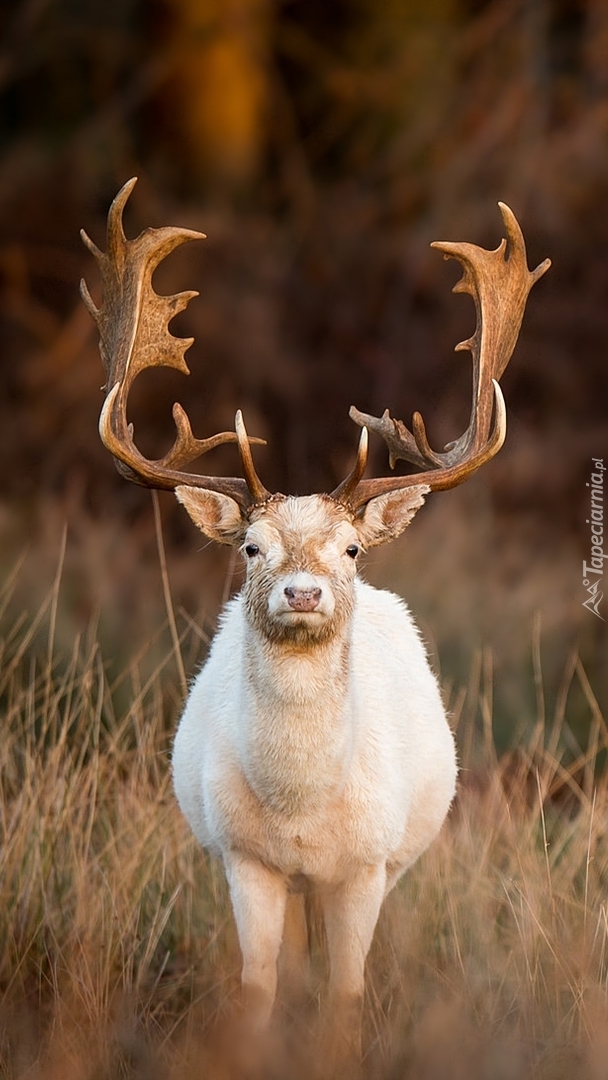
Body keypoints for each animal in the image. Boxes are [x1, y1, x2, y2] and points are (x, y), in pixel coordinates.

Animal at [80, 183, 552, 1054]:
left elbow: (345, 995)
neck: (300, 809)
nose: (303, 593)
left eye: (354, 548)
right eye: (251, 546)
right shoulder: (245, 860)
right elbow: (260, 989)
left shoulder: (364, 866)